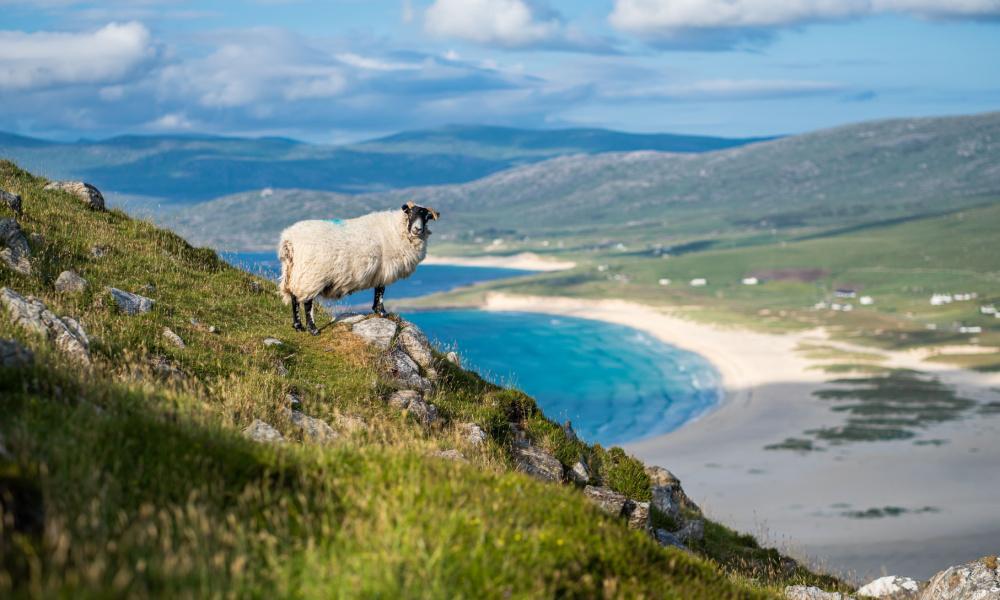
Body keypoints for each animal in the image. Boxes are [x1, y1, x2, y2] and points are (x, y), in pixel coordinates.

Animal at [280, 202, 440, 332]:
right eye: (410, 213)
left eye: (426, 217)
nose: (417, 229)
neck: (397, 229)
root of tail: (289, 239)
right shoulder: (384, 269)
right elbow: (381, 291)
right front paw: (382, 312)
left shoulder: (379, 271)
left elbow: (378, 290)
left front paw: (376, 310)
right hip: (310, 274)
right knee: (307, 302)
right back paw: (312, 329)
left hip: (293, 272)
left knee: (293, 297)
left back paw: (298, 326)